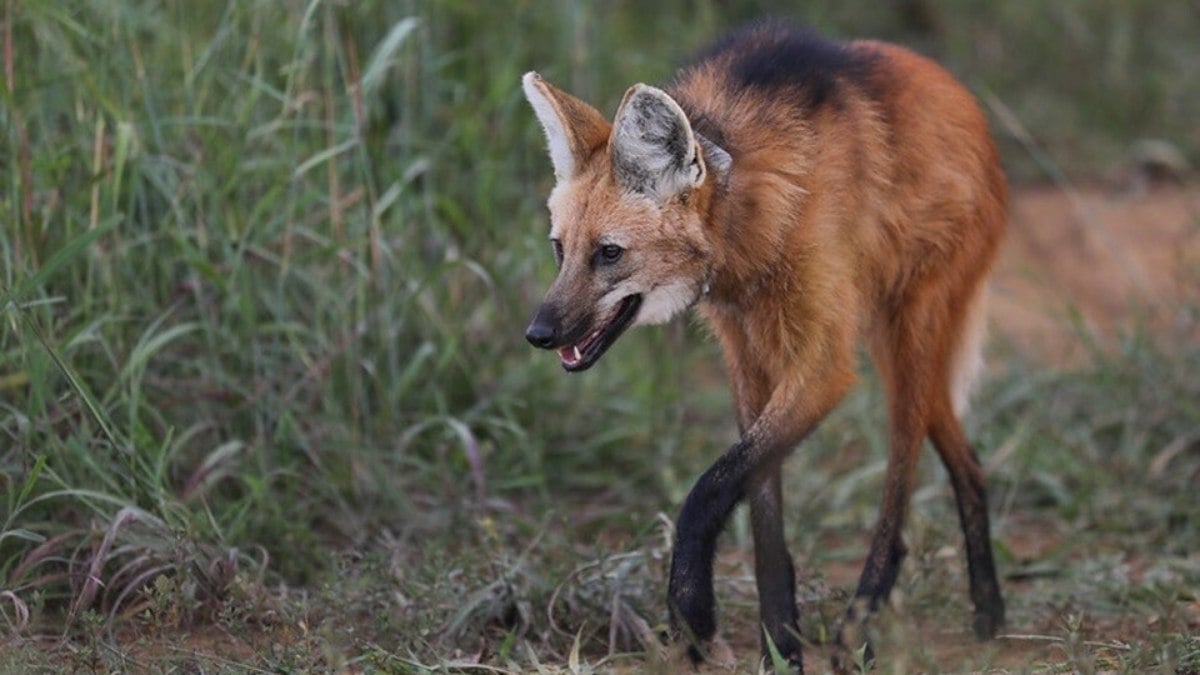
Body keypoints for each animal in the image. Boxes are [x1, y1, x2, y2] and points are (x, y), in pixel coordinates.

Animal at [523, 19, 1003, 667]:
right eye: (560, 249)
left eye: (610, 253)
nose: (539, 334)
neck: (749, 225)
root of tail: (960, 95)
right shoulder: (748, 354)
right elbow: (761, 514)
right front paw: (781, 648)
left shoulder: (823, 366)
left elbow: (710, 489)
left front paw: (693, 610)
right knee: (967, 458)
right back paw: (988, 607)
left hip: (907, 337)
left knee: (900, 484)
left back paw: (861, 627)